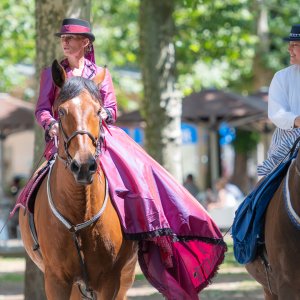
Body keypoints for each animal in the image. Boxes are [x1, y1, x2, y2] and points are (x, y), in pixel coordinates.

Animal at [17, 59, 137, 298]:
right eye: (62, 111)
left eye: (99, 111)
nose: (83, 166)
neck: (80, 209)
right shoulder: (56, 279)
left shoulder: (111, 280)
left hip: (126, 277)